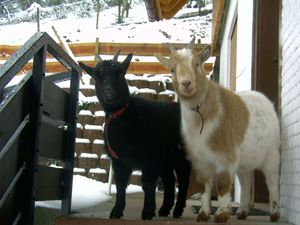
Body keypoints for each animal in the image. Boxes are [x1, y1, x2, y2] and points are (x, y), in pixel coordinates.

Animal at [79, 51, 191, 220]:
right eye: (98, 76)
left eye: (120, 73)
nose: (109, 92)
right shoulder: (119, 161)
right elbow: (120, 185)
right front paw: (116, 211)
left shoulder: (150, 160)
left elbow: (147, 185)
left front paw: (147, 212)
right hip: (167, 159)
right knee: (169, 181)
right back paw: (164, 209)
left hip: (182, 157)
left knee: (183, 181)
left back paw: (177, 211)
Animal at [156, 39, 280, 223]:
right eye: (172, 69)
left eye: (197, 64)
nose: (186, 83)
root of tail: (265, 99)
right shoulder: (201, 159)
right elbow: (205, 185)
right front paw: (203, 213)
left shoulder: (225, 156)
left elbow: (222, 184)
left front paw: (221, 214)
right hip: (245, 159)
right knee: (245, 181)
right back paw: (242, 212)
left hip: (271, 153)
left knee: (272, 180)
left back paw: (274, 213)